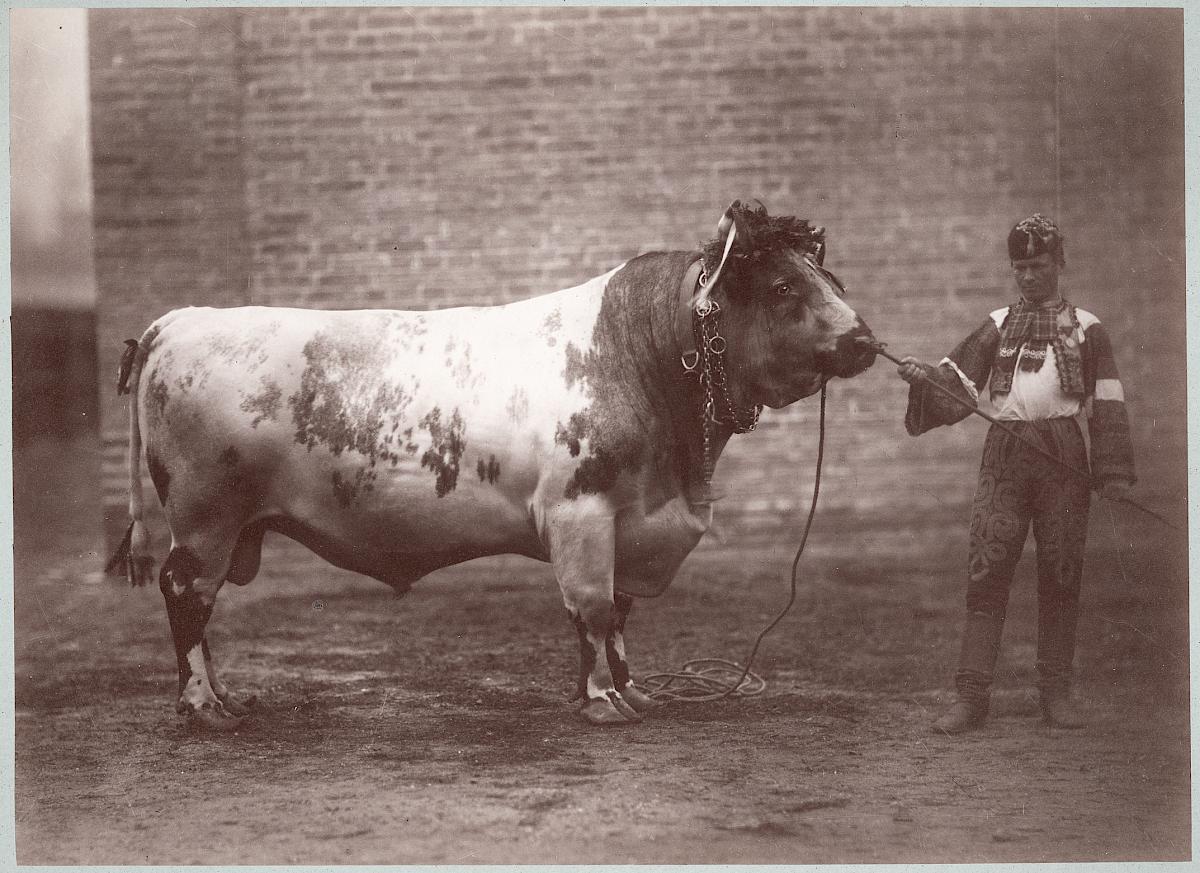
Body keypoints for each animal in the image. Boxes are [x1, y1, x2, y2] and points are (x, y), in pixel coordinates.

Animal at [107, 200, 876, 730]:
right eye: (782, 287)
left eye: (830, 278)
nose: (865, 341)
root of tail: (182, 320)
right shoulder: (579, 511)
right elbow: (593, 607)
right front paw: (601, 702)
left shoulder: (631, 521)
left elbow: (621, 614)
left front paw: (634, 690)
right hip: (205, 517)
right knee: (185, 596)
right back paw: (205, 706)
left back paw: (226, 696)